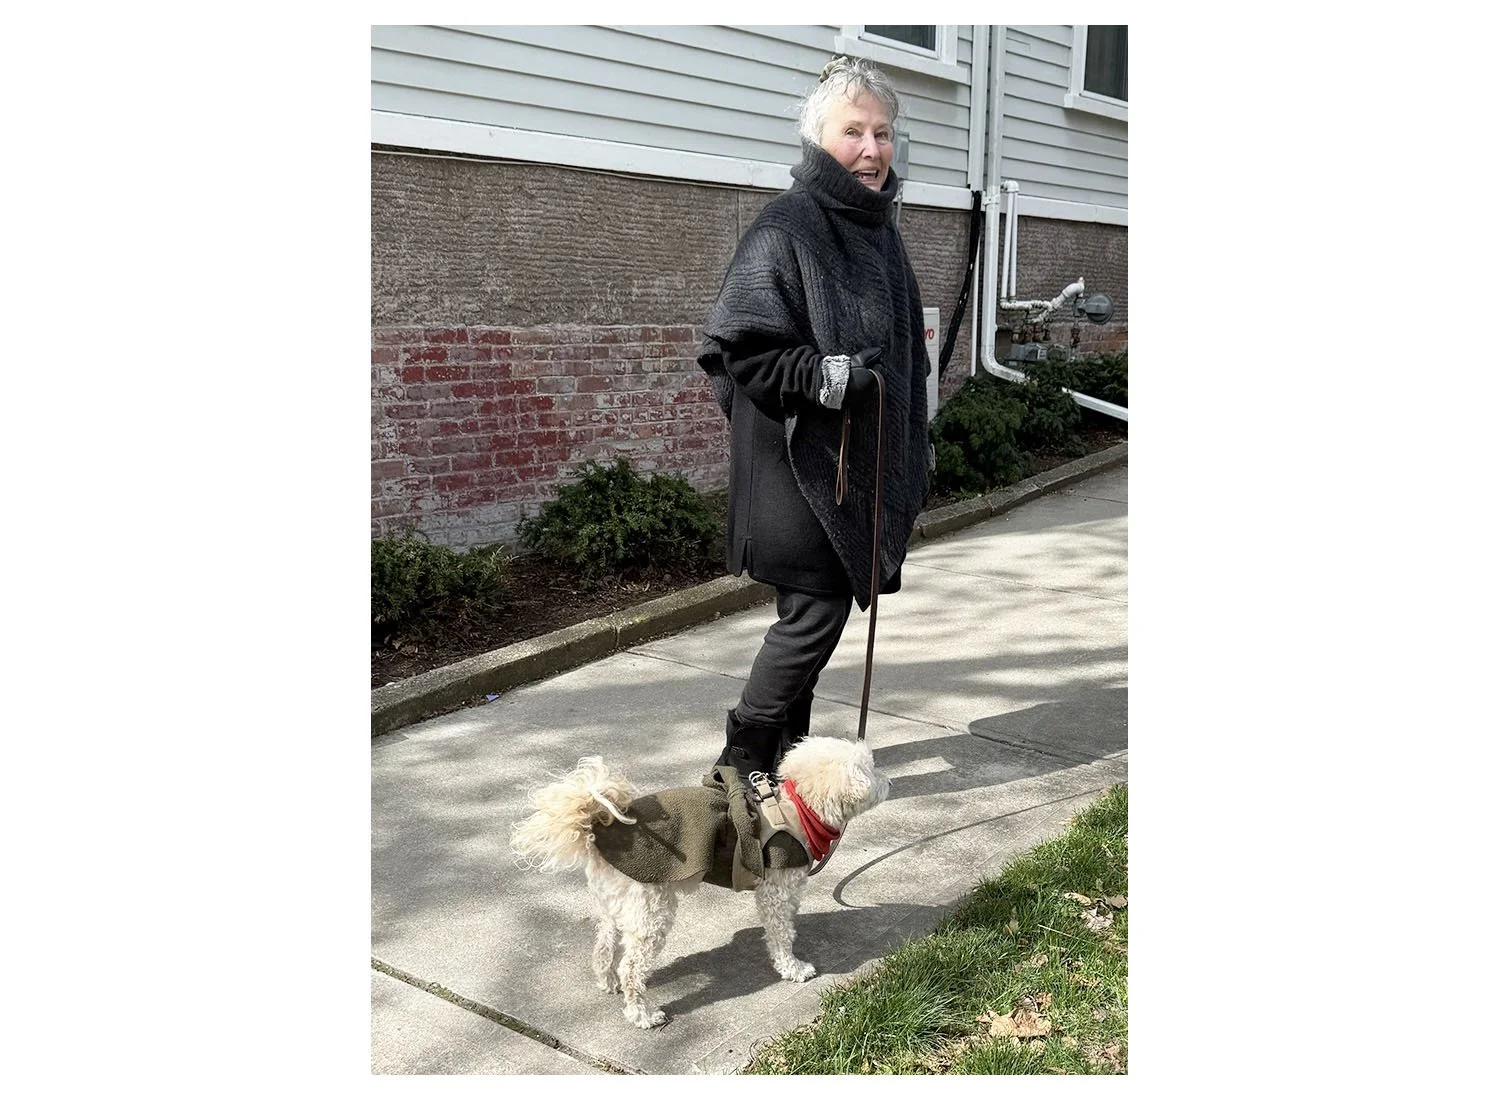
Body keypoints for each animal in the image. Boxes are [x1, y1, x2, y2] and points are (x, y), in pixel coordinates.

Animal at [510, 736, 890, 1029]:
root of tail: (600, 826)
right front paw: (793, 968)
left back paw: (608, 982)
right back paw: (641, 1014)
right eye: (872, 768)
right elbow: (781, 934)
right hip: (651, 911)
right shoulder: (776, 892)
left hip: (617, 904)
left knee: (605, 946)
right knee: (631, 967)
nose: (889, 782)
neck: (798, 809)